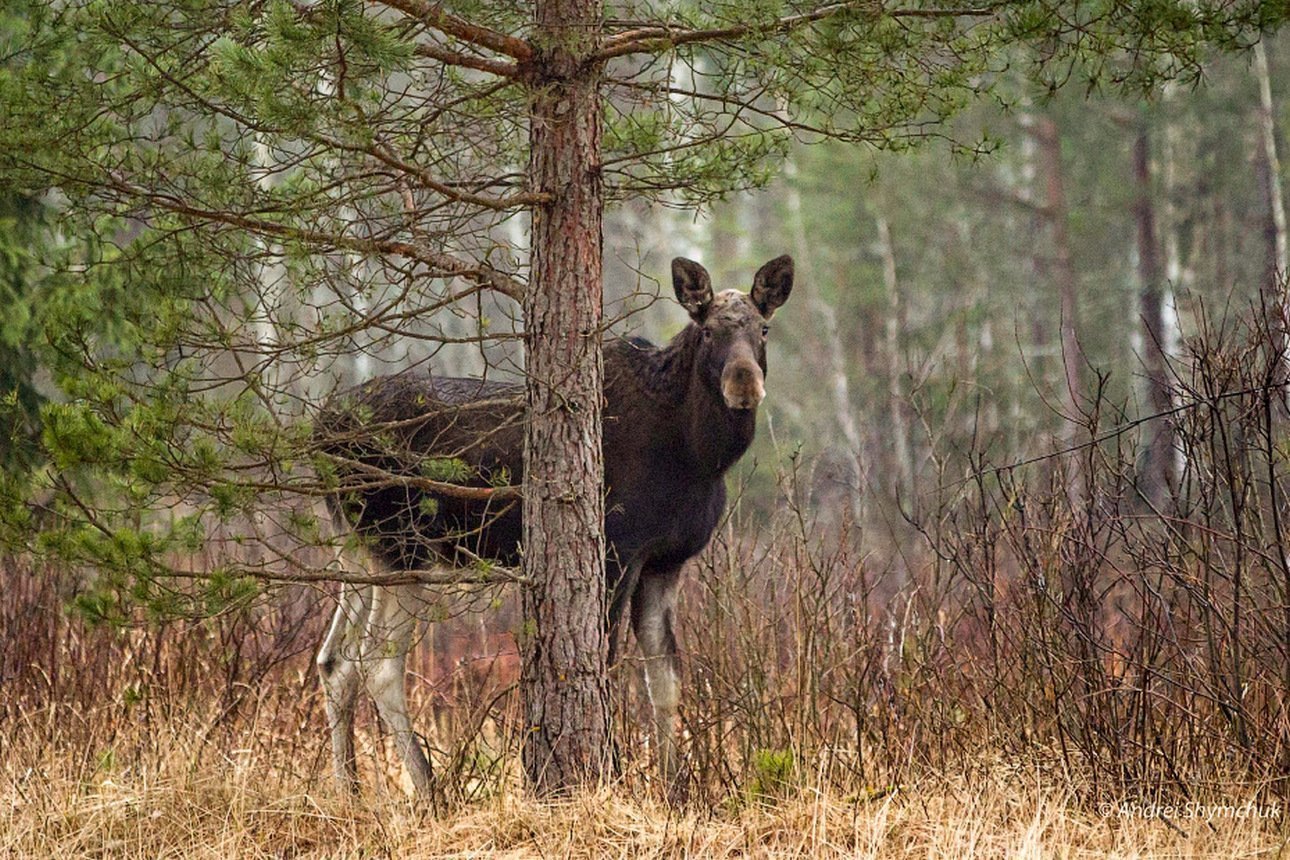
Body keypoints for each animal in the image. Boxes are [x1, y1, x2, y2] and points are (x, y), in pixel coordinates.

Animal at [314, 252, 794, 799]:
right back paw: (429, 791)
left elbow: (666, 678)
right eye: (709, 330)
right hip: (404, 551)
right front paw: (613, 773)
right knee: (377, 663)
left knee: (334, 661)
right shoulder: (617, 552)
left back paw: (349, 791)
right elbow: (604, 664)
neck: (699, 456)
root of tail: (315, 432)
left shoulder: (665, 562)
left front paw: (675, 790)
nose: (744, 384)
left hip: (355, 553)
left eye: (763, 329)